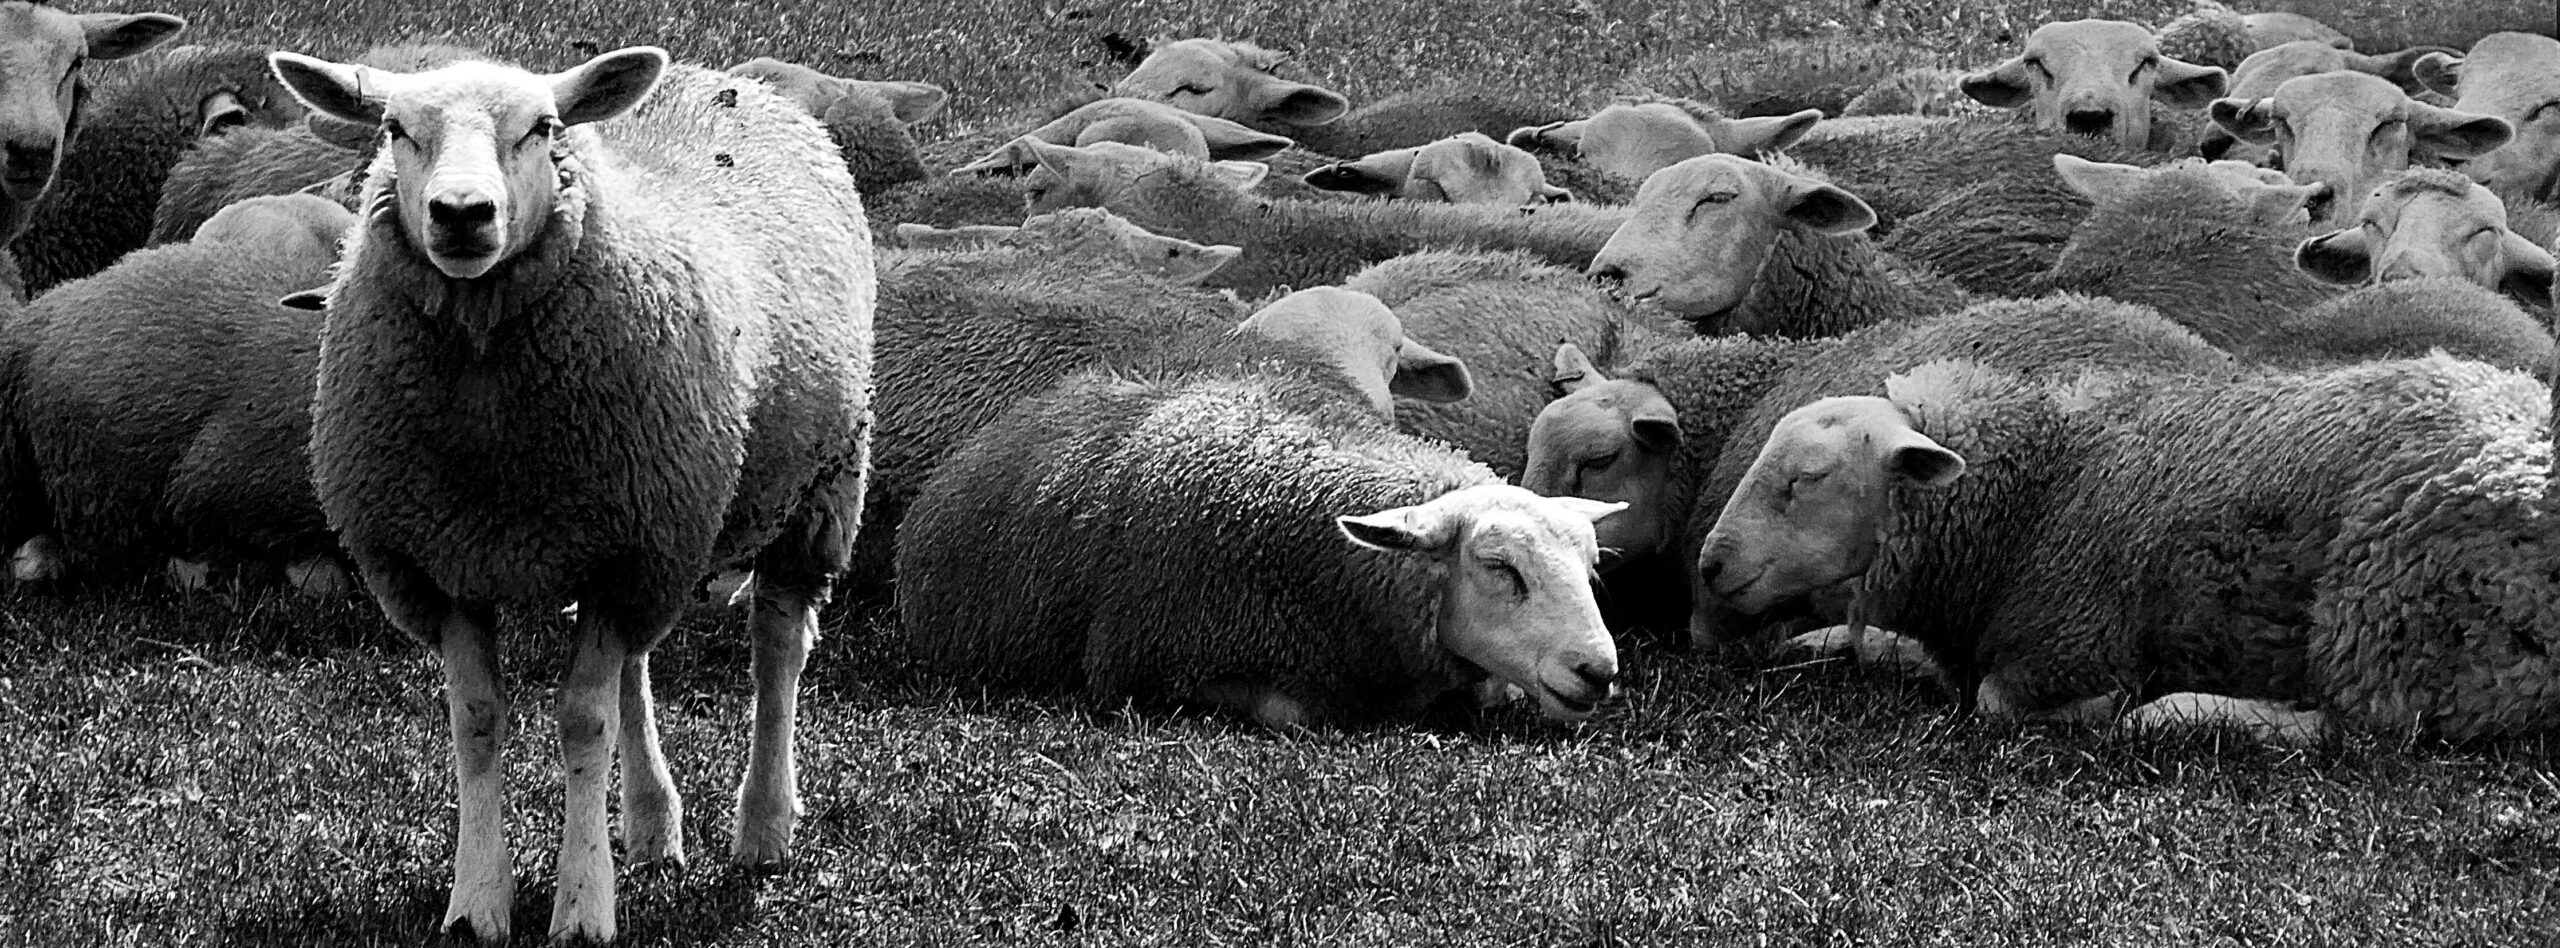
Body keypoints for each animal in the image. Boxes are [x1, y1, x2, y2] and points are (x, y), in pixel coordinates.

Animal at [267, 48, 874, 943]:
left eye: (541, 128)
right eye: (395, 129)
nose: (461, 214)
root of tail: (717, 75)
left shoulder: (627, 551)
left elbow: (582, 722)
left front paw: (582, 905)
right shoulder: (448, 560)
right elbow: (479, 720)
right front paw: (477, 902)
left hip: (815, 485)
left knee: (777, 648)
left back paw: (764, 828)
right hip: (646, 526)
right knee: (635, 670)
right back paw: (652, 826)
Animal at [1697, 353, 2560, 743]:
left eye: (1808, 478)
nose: (1709, 565)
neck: (2036, 493)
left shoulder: (2074, 644)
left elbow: (1997, 700)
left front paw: (2109, 709)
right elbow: (1890, 649)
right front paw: (1826, 643)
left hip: (2390, 622)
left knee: (2361, 728)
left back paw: (2184, 712)